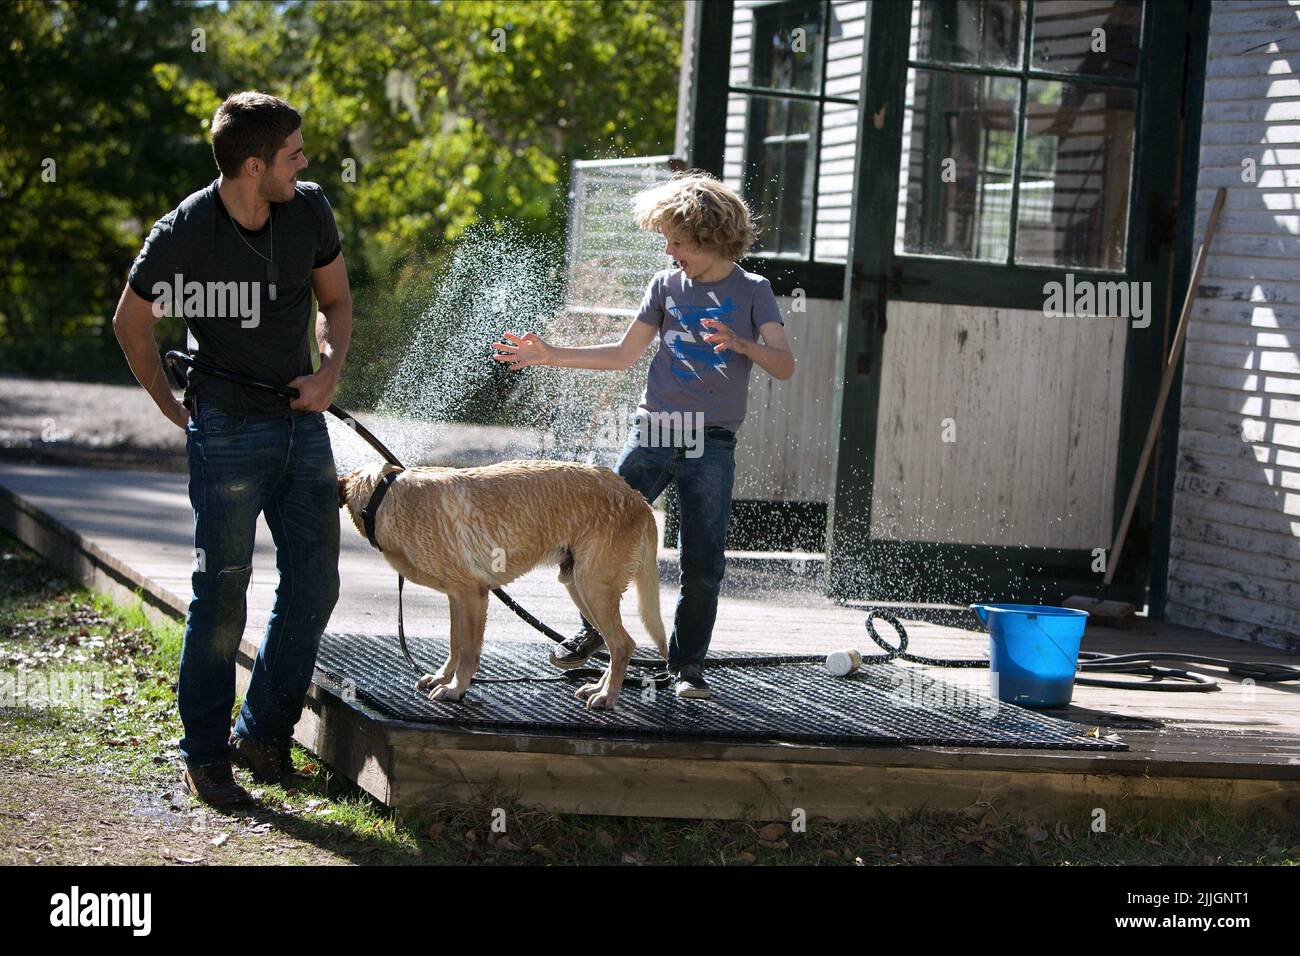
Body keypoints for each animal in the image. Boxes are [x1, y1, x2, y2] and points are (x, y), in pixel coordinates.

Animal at [338, 460, 660, 707]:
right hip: (579, 587)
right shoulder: (456, 596)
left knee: (622, 645)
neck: (383, 495)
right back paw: (598, 688)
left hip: (593, 589)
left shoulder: (473, 594)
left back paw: (607, 696)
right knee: (618, 644)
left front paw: (455, 689)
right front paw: (443, 677)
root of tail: (639, 499)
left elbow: (469, 651)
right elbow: (455, 644)